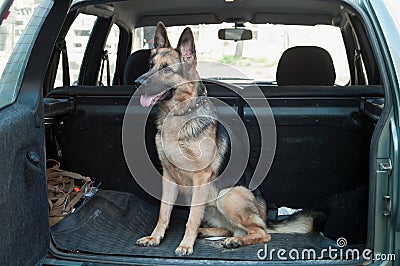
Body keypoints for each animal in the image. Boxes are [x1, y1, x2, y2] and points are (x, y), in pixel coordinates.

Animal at [136, 21, 324, 256]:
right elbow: (164, 213)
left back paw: (234, 241)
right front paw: (155, 237)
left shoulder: (201, 178)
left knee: (261, 233)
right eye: (150, 65)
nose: (137, 82)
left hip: (228, 194)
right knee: (229, 228)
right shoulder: (168, 177)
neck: (179, 115)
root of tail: (265, 216)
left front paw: (186, 244)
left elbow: (191, 218)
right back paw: (209, 234)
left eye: (166, 69)